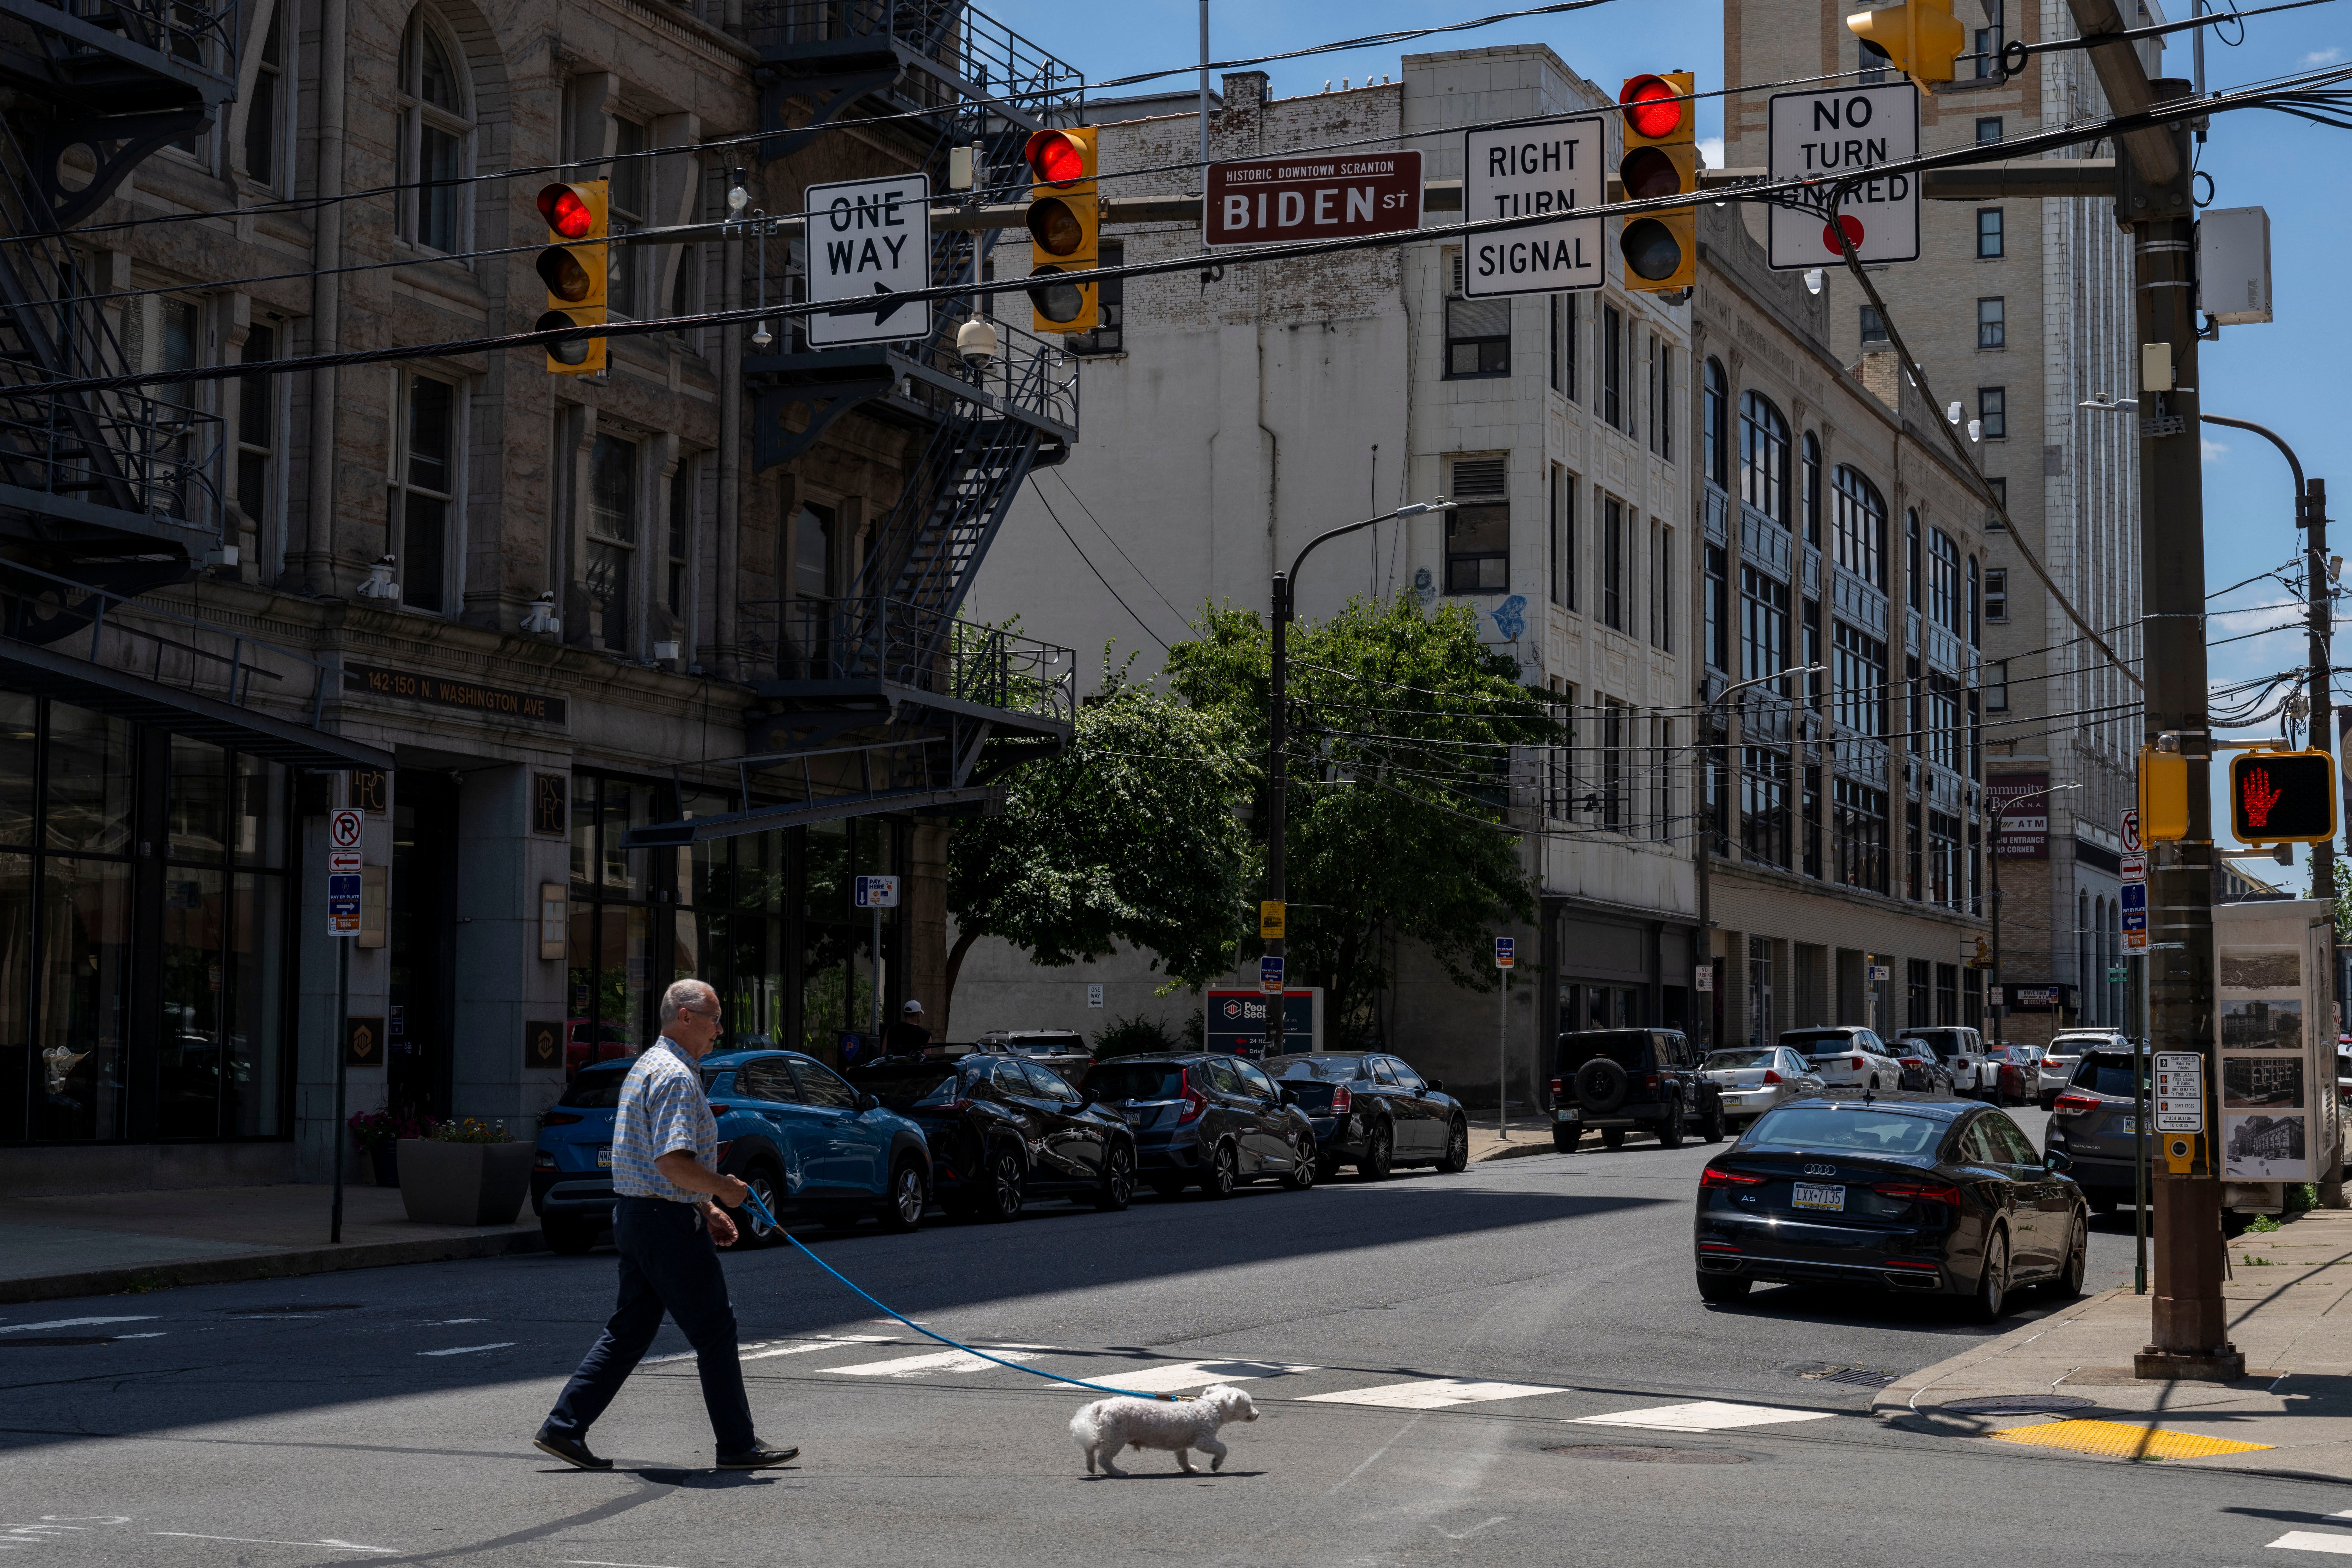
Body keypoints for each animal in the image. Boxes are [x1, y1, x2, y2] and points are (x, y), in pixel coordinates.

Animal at [1072, 1382, 1261, 1476]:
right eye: (1249, 1406)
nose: (1258, 1414)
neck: (1211, 1407)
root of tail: (1102, 1405)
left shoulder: (1181, 1444)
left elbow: (1183, 1458)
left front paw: (1189, 1469)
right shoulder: (1204, 1439)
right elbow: (1222, 1449)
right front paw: (1216, 1464)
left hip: (1106, 1434)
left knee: (1090, 1449)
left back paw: (1090, 1466)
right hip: (1115, 1437)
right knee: (1104, 1459)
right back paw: (1117, 1472)